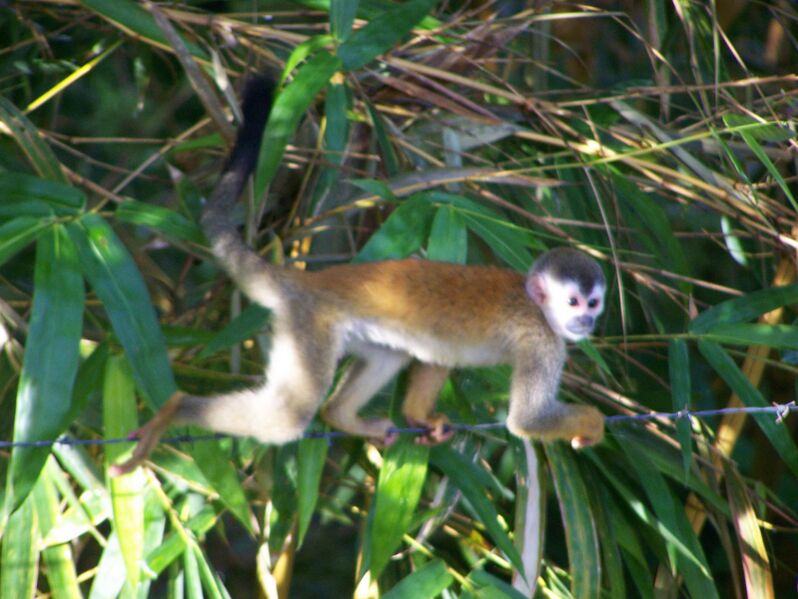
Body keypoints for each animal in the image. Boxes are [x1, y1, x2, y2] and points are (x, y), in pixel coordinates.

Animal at [110, 76, 606, 476]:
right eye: (573, 302)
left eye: (595, 302)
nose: (587, 322)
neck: (536, 306)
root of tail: (307, 282)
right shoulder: (544, 343)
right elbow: (525, 421)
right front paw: (591, 423)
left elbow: (437, 358)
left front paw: (420, 416)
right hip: (309, 327)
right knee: (287, 418)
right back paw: (178, 408)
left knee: (390, 356)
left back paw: (341, 417)